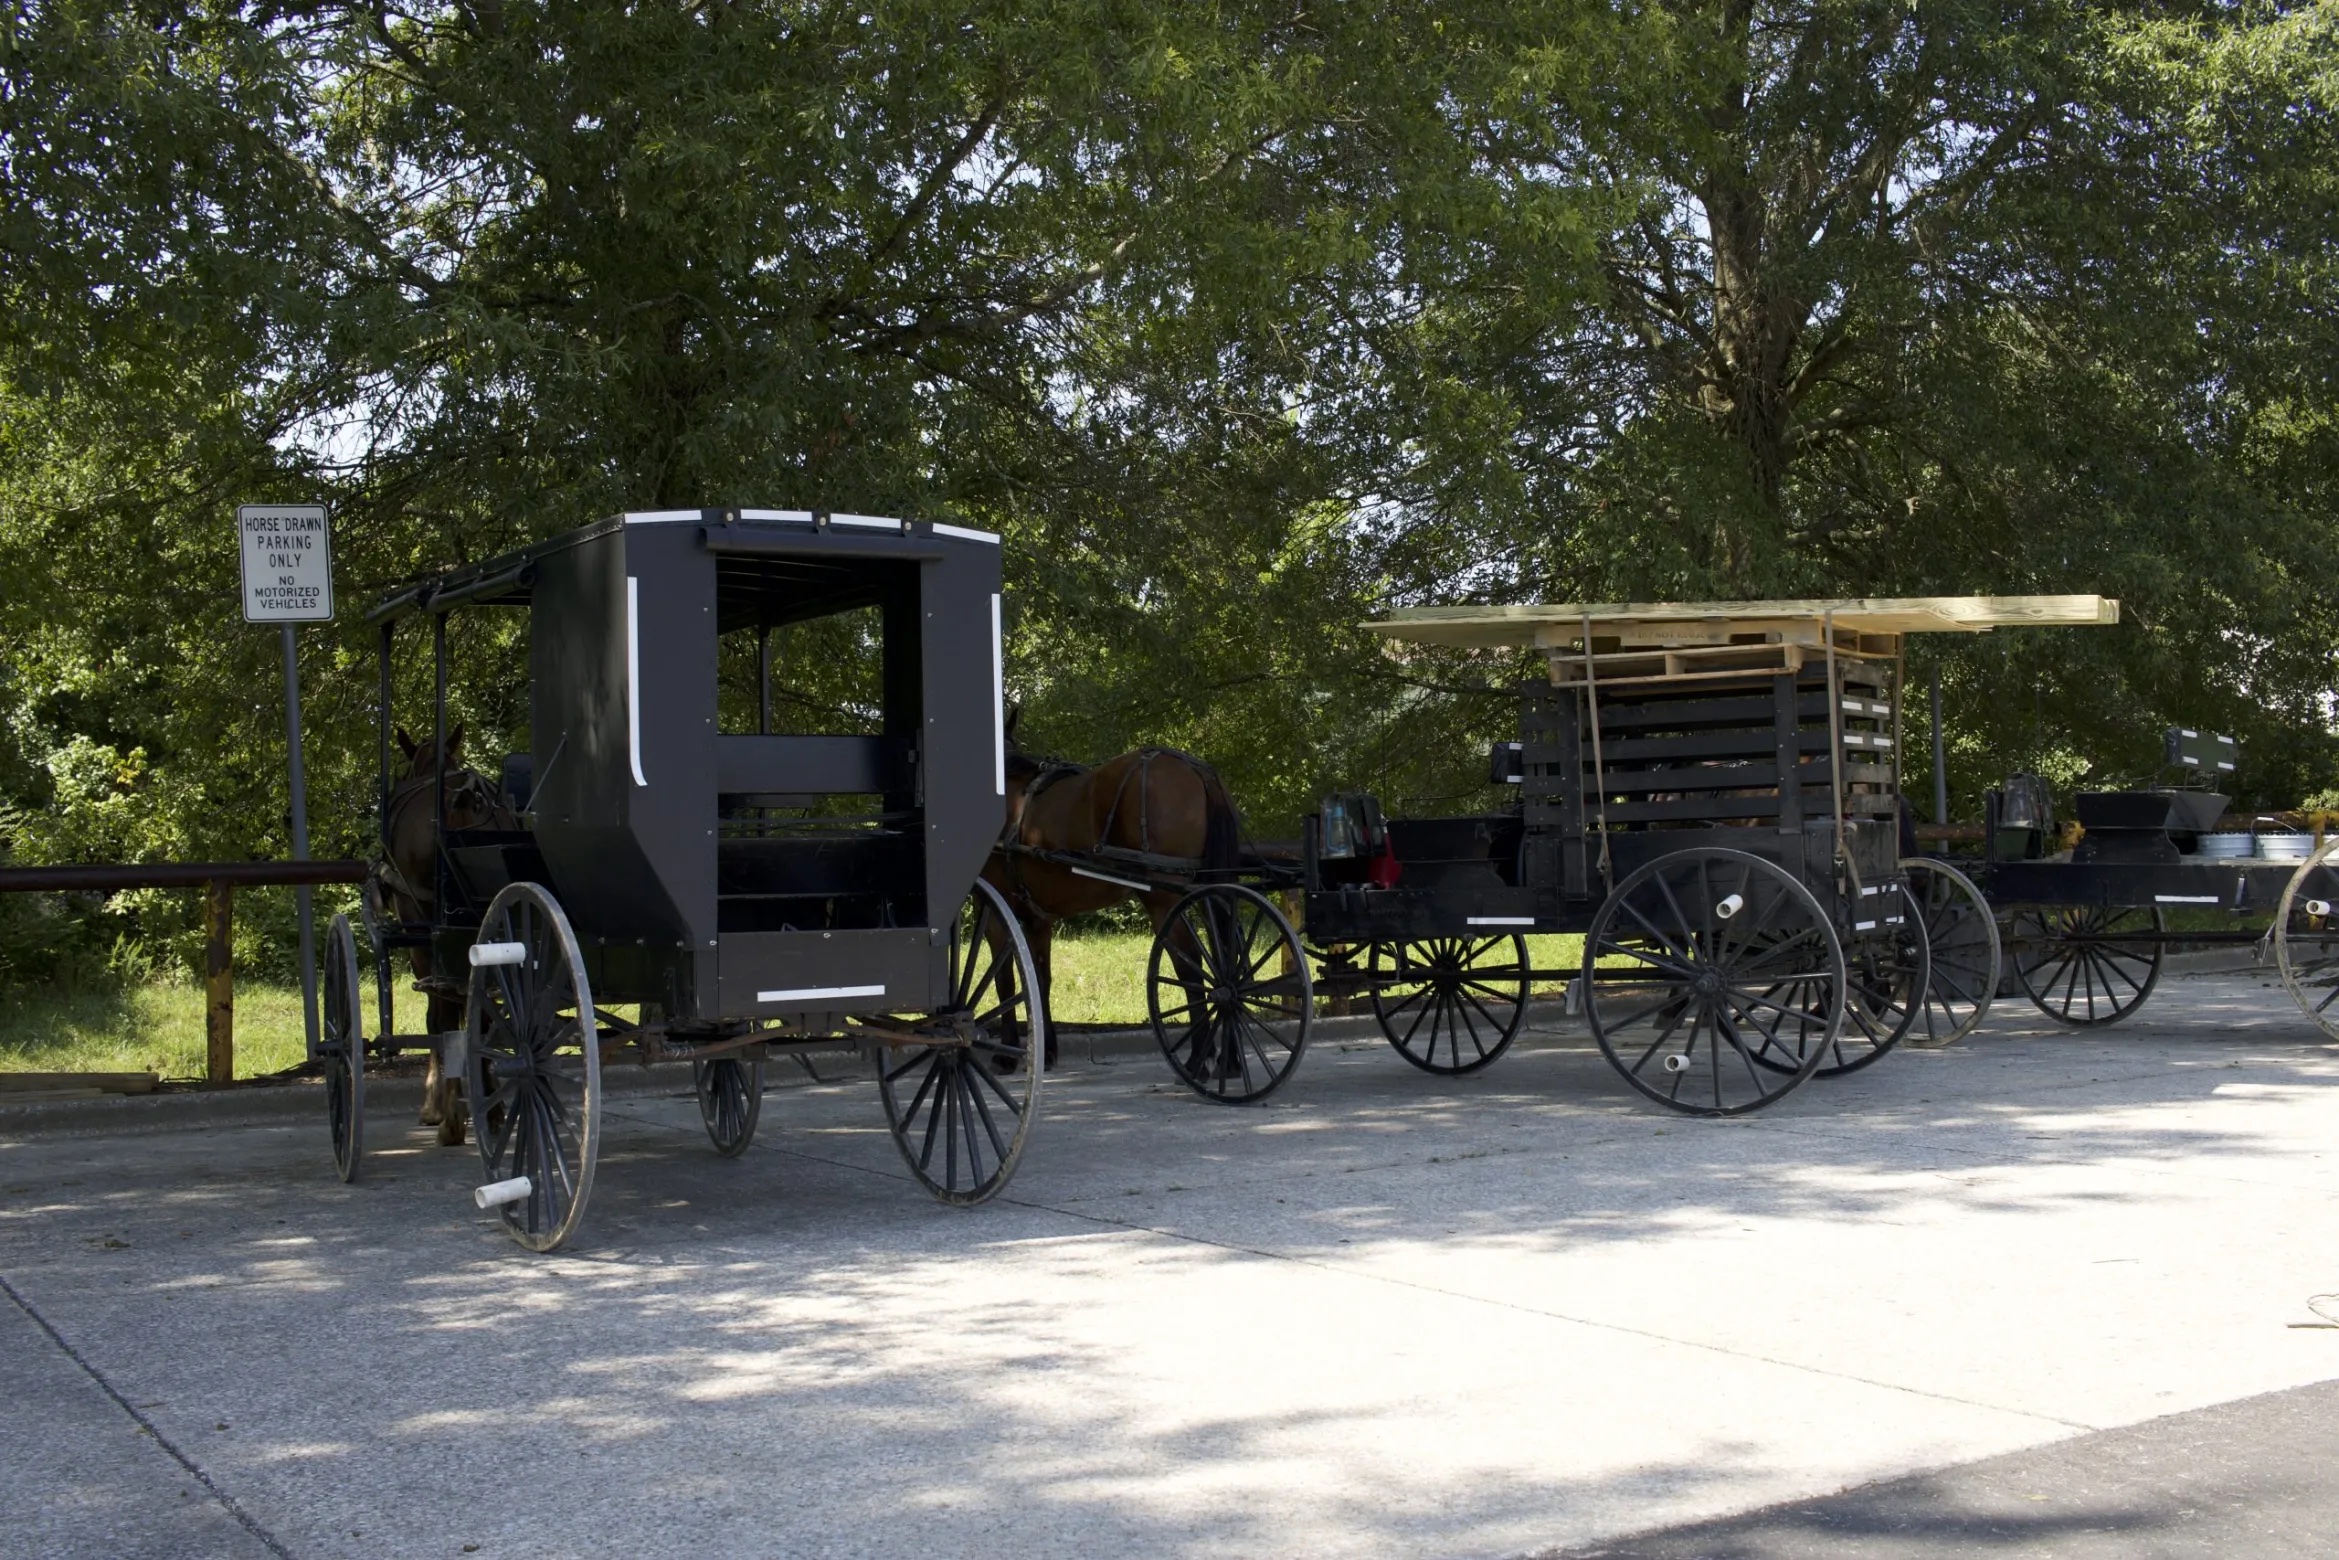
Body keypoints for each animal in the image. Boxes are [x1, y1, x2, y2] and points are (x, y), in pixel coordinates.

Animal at [376, 725, 514, 1146]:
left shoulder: (421, 942)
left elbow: (436, 1018)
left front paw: (436, 1108)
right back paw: (491, 1110)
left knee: (448, 1013)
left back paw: (452, 1117)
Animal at [982, 748, 1244, 1066]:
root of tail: (1194, 768)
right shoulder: (1038, 918)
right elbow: (1039, 978)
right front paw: (1046, 1049)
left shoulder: (996, 905)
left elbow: (1005, 980)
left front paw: (1006, 1054)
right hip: (1209, 890)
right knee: (1226, 957)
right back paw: (1229, 1059)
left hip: (1165, 897)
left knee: (1189, 964)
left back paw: (1197, 1059)